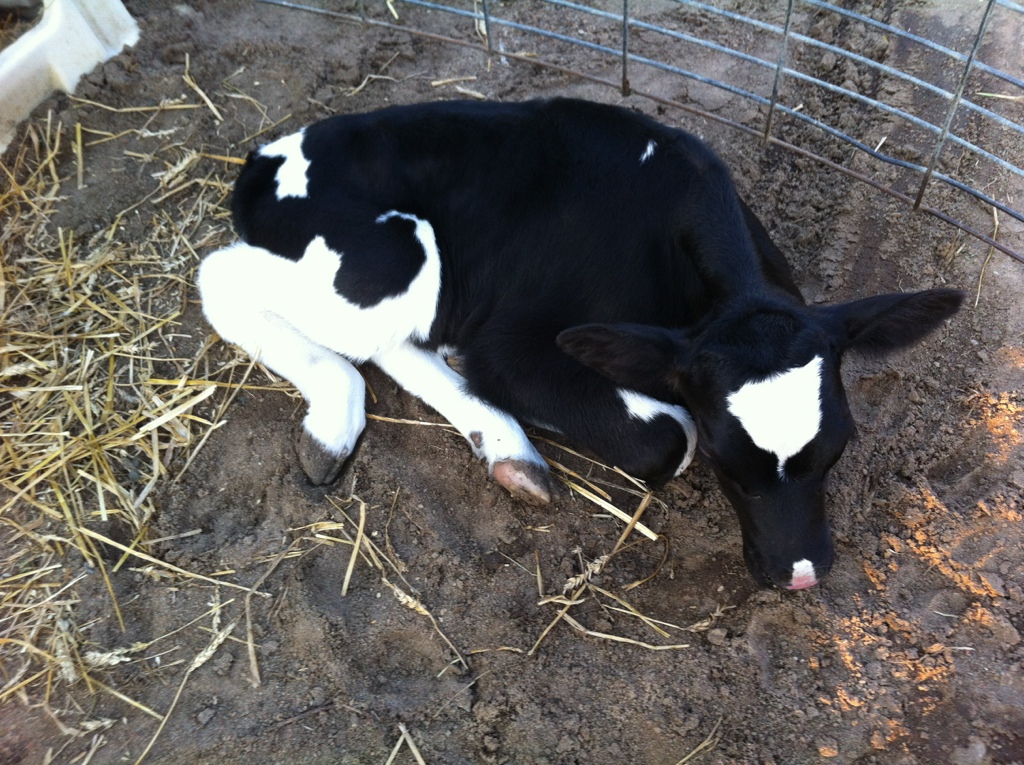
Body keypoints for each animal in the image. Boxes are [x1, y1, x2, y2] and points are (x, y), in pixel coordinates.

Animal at [198, 97, 963, 590]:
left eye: (840, 447)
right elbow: (669, 436)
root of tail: (267, 154)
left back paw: (507, 451)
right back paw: (335, 418)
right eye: (725, 459)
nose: (799, 575)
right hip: (393, 254)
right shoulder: (508, 342)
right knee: (220, 275)